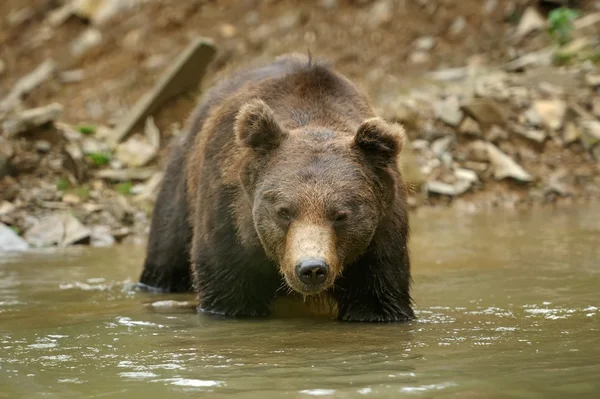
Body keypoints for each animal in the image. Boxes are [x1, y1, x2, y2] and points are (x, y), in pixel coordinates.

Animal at [138, 52, 414, 322]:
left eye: (340, 215)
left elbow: (377, 300)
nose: (311, 269)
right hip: (182, 186)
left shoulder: (381, 236)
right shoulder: (228, 220)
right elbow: (228, 293)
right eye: (284, 211)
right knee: (167, 250)